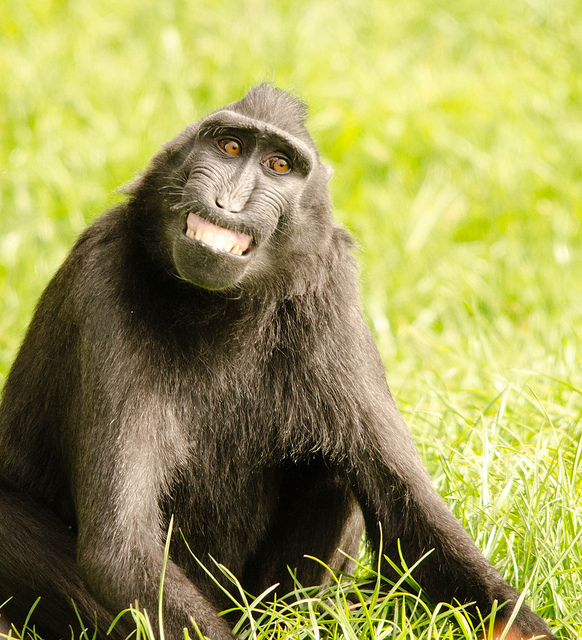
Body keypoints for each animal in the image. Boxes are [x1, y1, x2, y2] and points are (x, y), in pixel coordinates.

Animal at [0, 86, 556, 640]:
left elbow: (413, 517)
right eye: (228, 147)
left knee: (334, 470)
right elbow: (119, 548)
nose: (229, 201)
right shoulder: (104, 279)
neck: (217, 309)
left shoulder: (331, 290)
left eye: (278, 165)